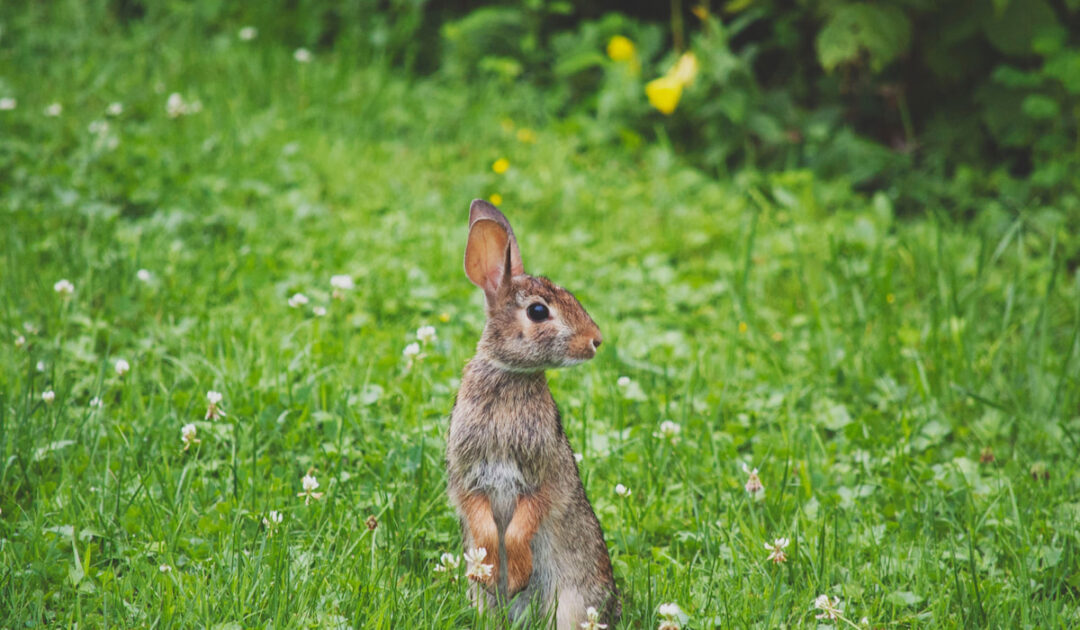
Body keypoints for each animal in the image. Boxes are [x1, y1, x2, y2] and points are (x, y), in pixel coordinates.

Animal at [445, 199, 621, 629]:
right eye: (538, 312)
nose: (595, 341)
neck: (510, 375)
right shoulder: (467, 473)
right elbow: (480, 518)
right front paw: (491, 571)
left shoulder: (542, 473)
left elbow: (527, 518)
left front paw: (517, 574)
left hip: (574, 604)